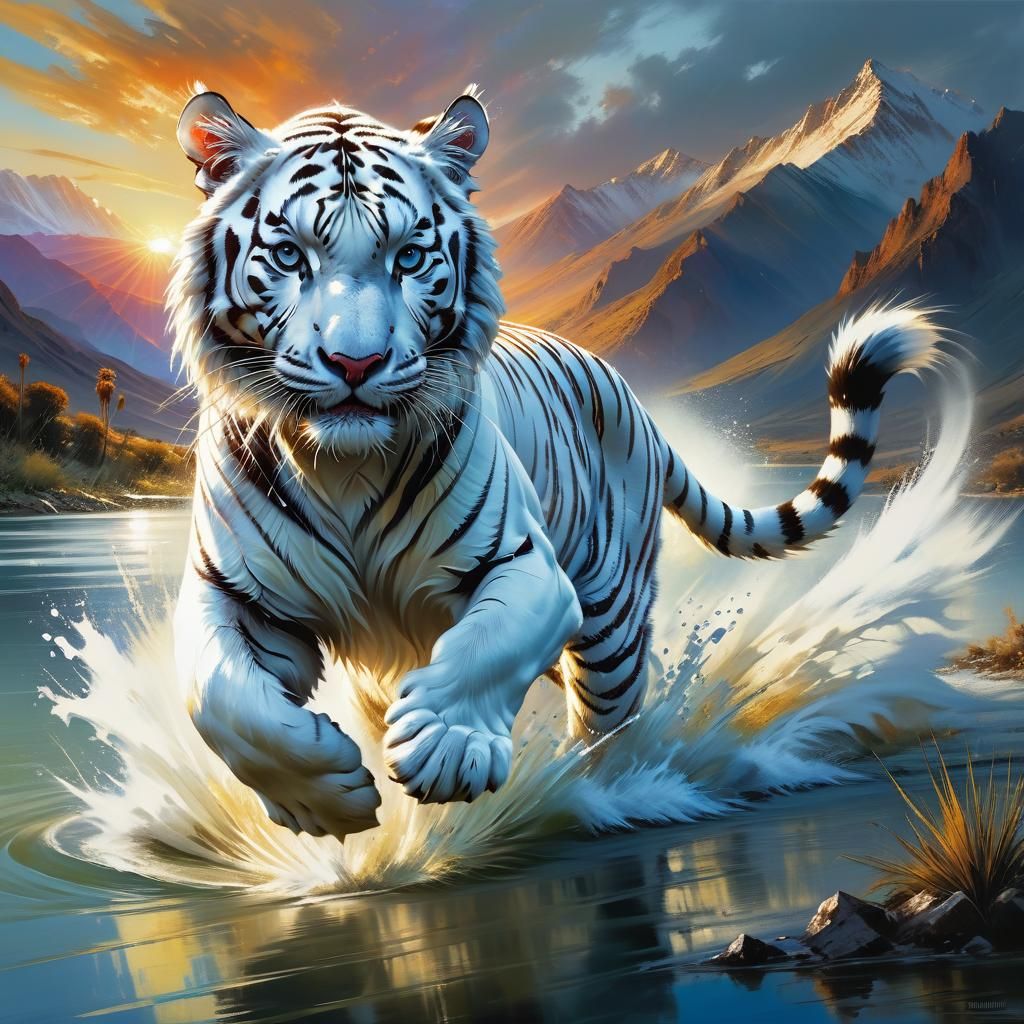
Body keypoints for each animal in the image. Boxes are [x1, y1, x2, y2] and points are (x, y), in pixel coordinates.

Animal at [169, 85, 944, 839]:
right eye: (289, 256)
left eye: (409, 258)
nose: (355, 362)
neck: (343, 468)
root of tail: (633, 400)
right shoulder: (235, 595)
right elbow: (218, 695)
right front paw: (321, 797)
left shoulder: (526, 567)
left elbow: (486, 648)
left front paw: (449, 746)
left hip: (609, 617)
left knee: (612, 724)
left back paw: (597, 795)